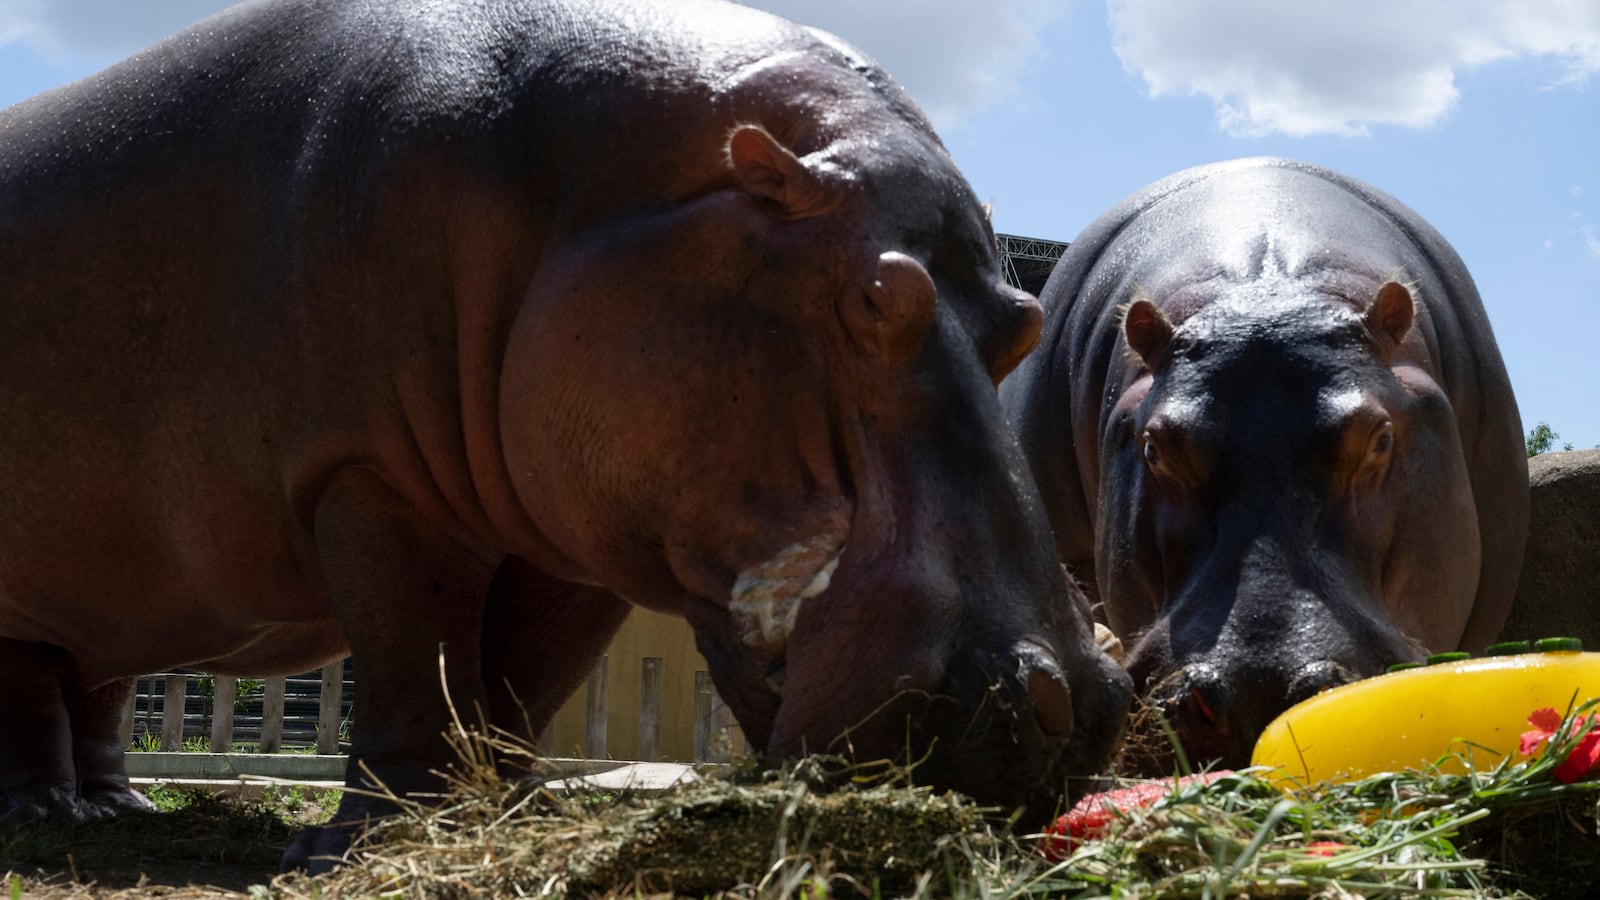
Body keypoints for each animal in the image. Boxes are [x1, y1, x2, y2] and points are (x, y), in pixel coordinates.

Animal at [0, 0, 1133, 869]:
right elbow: (415, 664)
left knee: (93, 684)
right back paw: (46, 813)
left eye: (1022, 326)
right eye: (877, 297)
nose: (1077, 705)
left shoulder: (577, 535)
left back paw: (115, 808)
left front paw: (495, 810)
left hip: (115, 578)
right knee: (31, 690)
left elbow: (515, 686)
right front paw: (359, 845)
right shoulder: (369, 477)